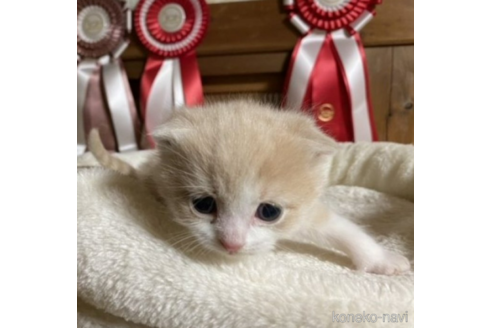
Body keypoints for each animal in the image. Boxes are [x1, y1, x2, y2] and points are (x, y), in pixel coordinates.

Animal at [89, 99, 412, 274]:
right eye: (203, 205)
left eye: (269, 212)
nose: (232, 244)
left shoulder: (306, 213)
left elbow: (343, 229)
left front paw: (381, 260)